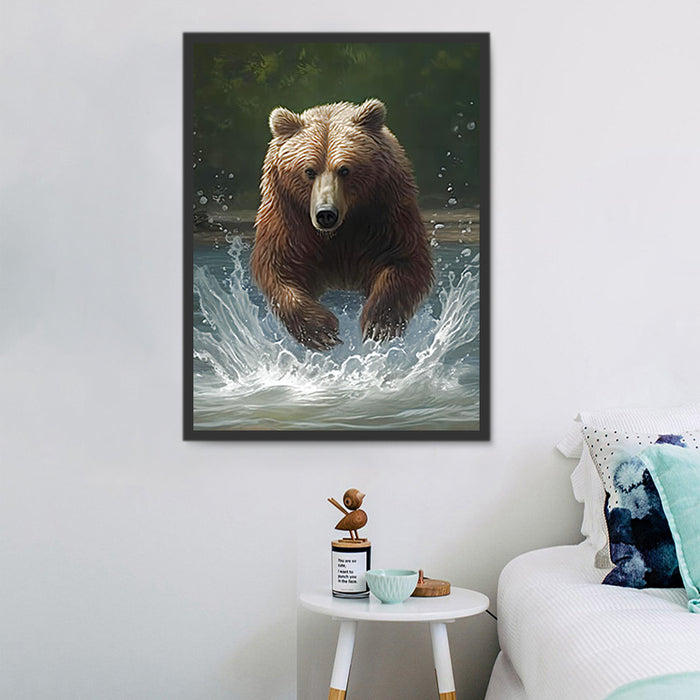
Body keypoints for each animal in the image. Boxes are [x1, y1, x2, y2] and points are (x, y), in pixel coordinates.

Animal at [251, 99, 433, 351]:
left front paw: (378, 326)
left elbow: (405, 261)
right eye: (309, 171)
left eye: (345, 169)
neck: (339, 233)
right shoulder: (288, 220)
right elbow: (279, 269)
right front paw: (322, 331)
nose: (326, 213)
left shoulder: (387, 214)